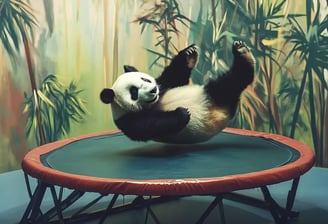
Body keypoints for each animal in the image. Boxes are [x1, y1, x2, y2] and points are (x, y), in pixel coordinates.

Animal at [101, 40, 255, 144]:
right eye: (134, 92)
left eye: (145, 79)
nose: (153, 90)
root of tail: (225, 112)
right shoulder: (128, 121)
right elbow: (153, 125)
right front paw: (182, 113)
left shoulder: (163, 86)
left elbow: (174, 76)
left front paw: (188, 54)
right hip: (213, 94)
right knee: (231, 82)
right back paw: (243, 57)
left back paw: (242, 51)